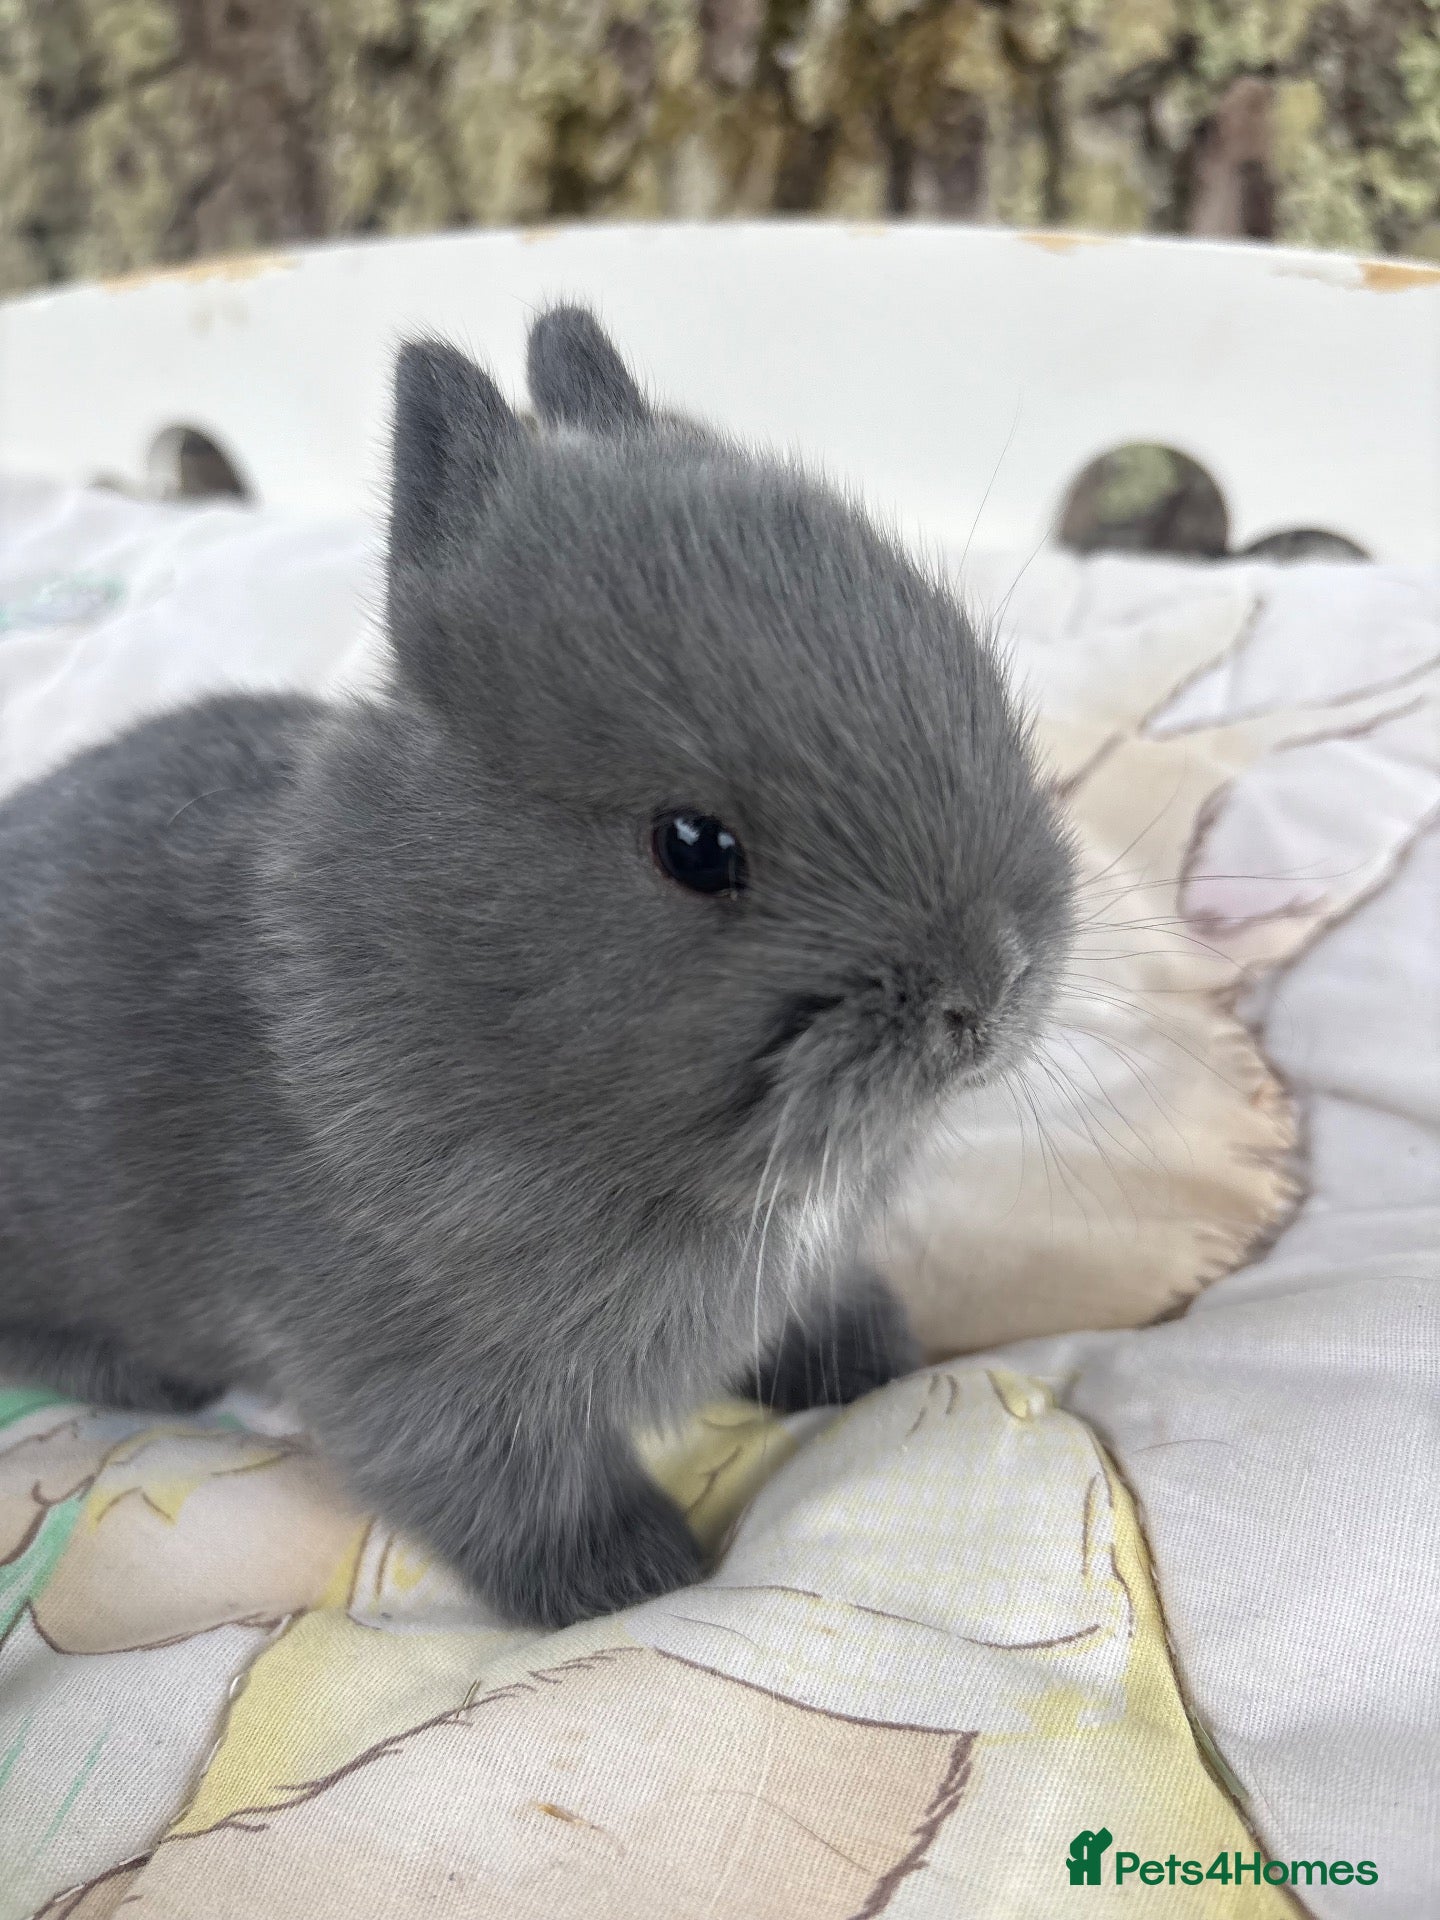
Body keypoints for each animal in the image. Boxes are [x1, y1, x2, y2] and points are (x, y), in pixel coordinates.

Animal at [0, 307, 1075, 1628]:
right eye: (694, 846)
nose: (990, 992)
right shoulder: (426, 1383)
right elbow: (524, 1491)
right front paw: (634, 1582)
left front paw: (872, 1360)